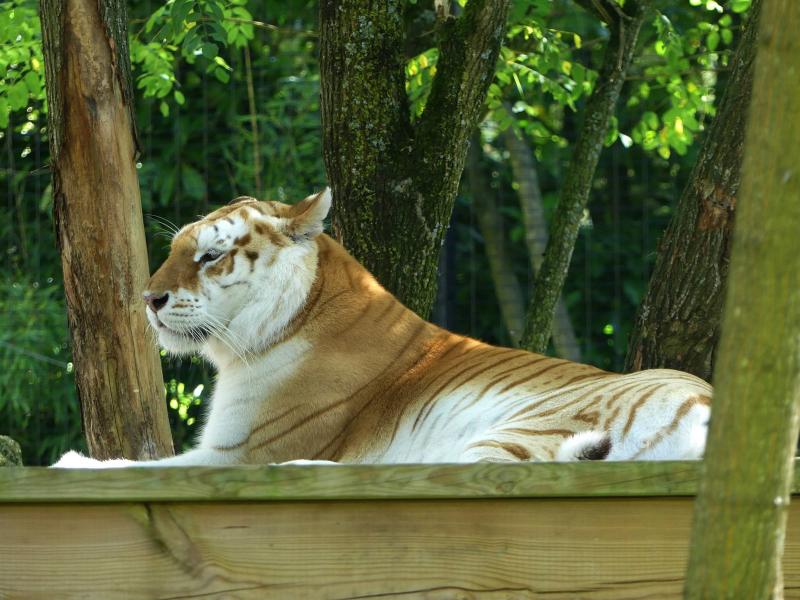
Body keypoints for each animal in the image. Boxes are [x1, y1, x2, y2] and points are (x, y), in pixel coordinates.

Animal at [54, 188, 711, 468]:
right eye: (174, 250)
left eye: (211, 256)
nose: (148, 299)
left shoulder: (234, 453)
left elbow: (131, 468)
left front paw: (71, 462)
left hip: (515, 433)